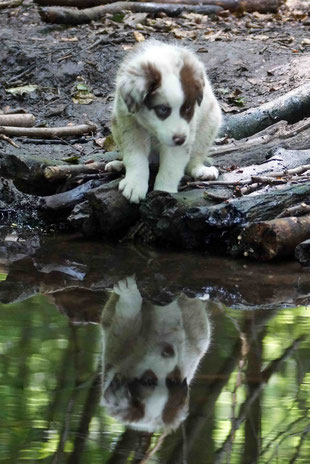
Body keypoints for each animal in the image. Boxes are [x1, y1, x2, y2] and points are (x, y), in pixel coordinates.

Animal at [105, 40, 222, 204]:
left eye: (187, 108)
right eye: (162, 109)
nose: (180, 140)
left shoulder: (186, 132)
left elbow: (171, 166)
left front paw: (164, 192)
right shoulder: (129, 122)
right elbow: (135, 156)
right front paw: (135, 184)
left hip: (211, 121)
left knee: (195, 158)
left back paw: (200, 170)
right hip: (115, 124)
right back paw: (118, 165)